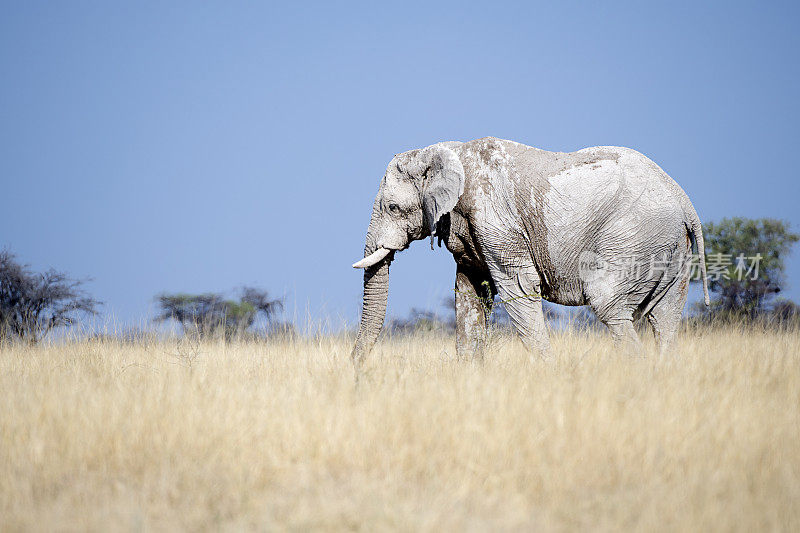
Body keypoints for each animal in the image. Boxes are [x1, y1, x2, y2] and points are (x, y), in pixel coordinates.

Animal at [354, 137, 708, 362]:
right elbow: (470, 297)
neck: (445, 151)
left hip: (633, 237)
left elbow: (520, 290)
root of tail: (685, 201)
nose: (357, 371)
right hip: (671, 249)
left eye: (393, 208)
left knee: (610, 307)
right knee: (664, 319)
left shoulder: (496, 222)